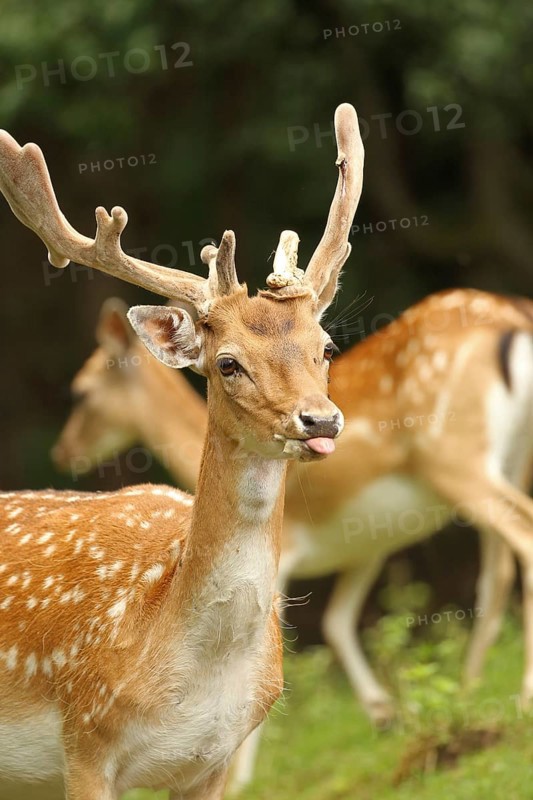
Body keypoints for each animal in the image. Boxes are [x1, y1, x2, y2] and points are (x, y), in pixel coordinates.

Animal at [52, 287, 533, 793]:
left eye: (81, 390)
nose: (63, 452)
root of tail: (512, 321)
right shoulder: (366, 544)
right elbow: (338, 623)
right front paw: (386, 713)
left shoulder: (293, 552)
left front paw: (241, 776)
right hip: (511, 460)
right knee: (497, 571)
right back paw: (470, 690)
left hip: (456, 459)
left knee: (522, 537)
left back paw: (519, 695)